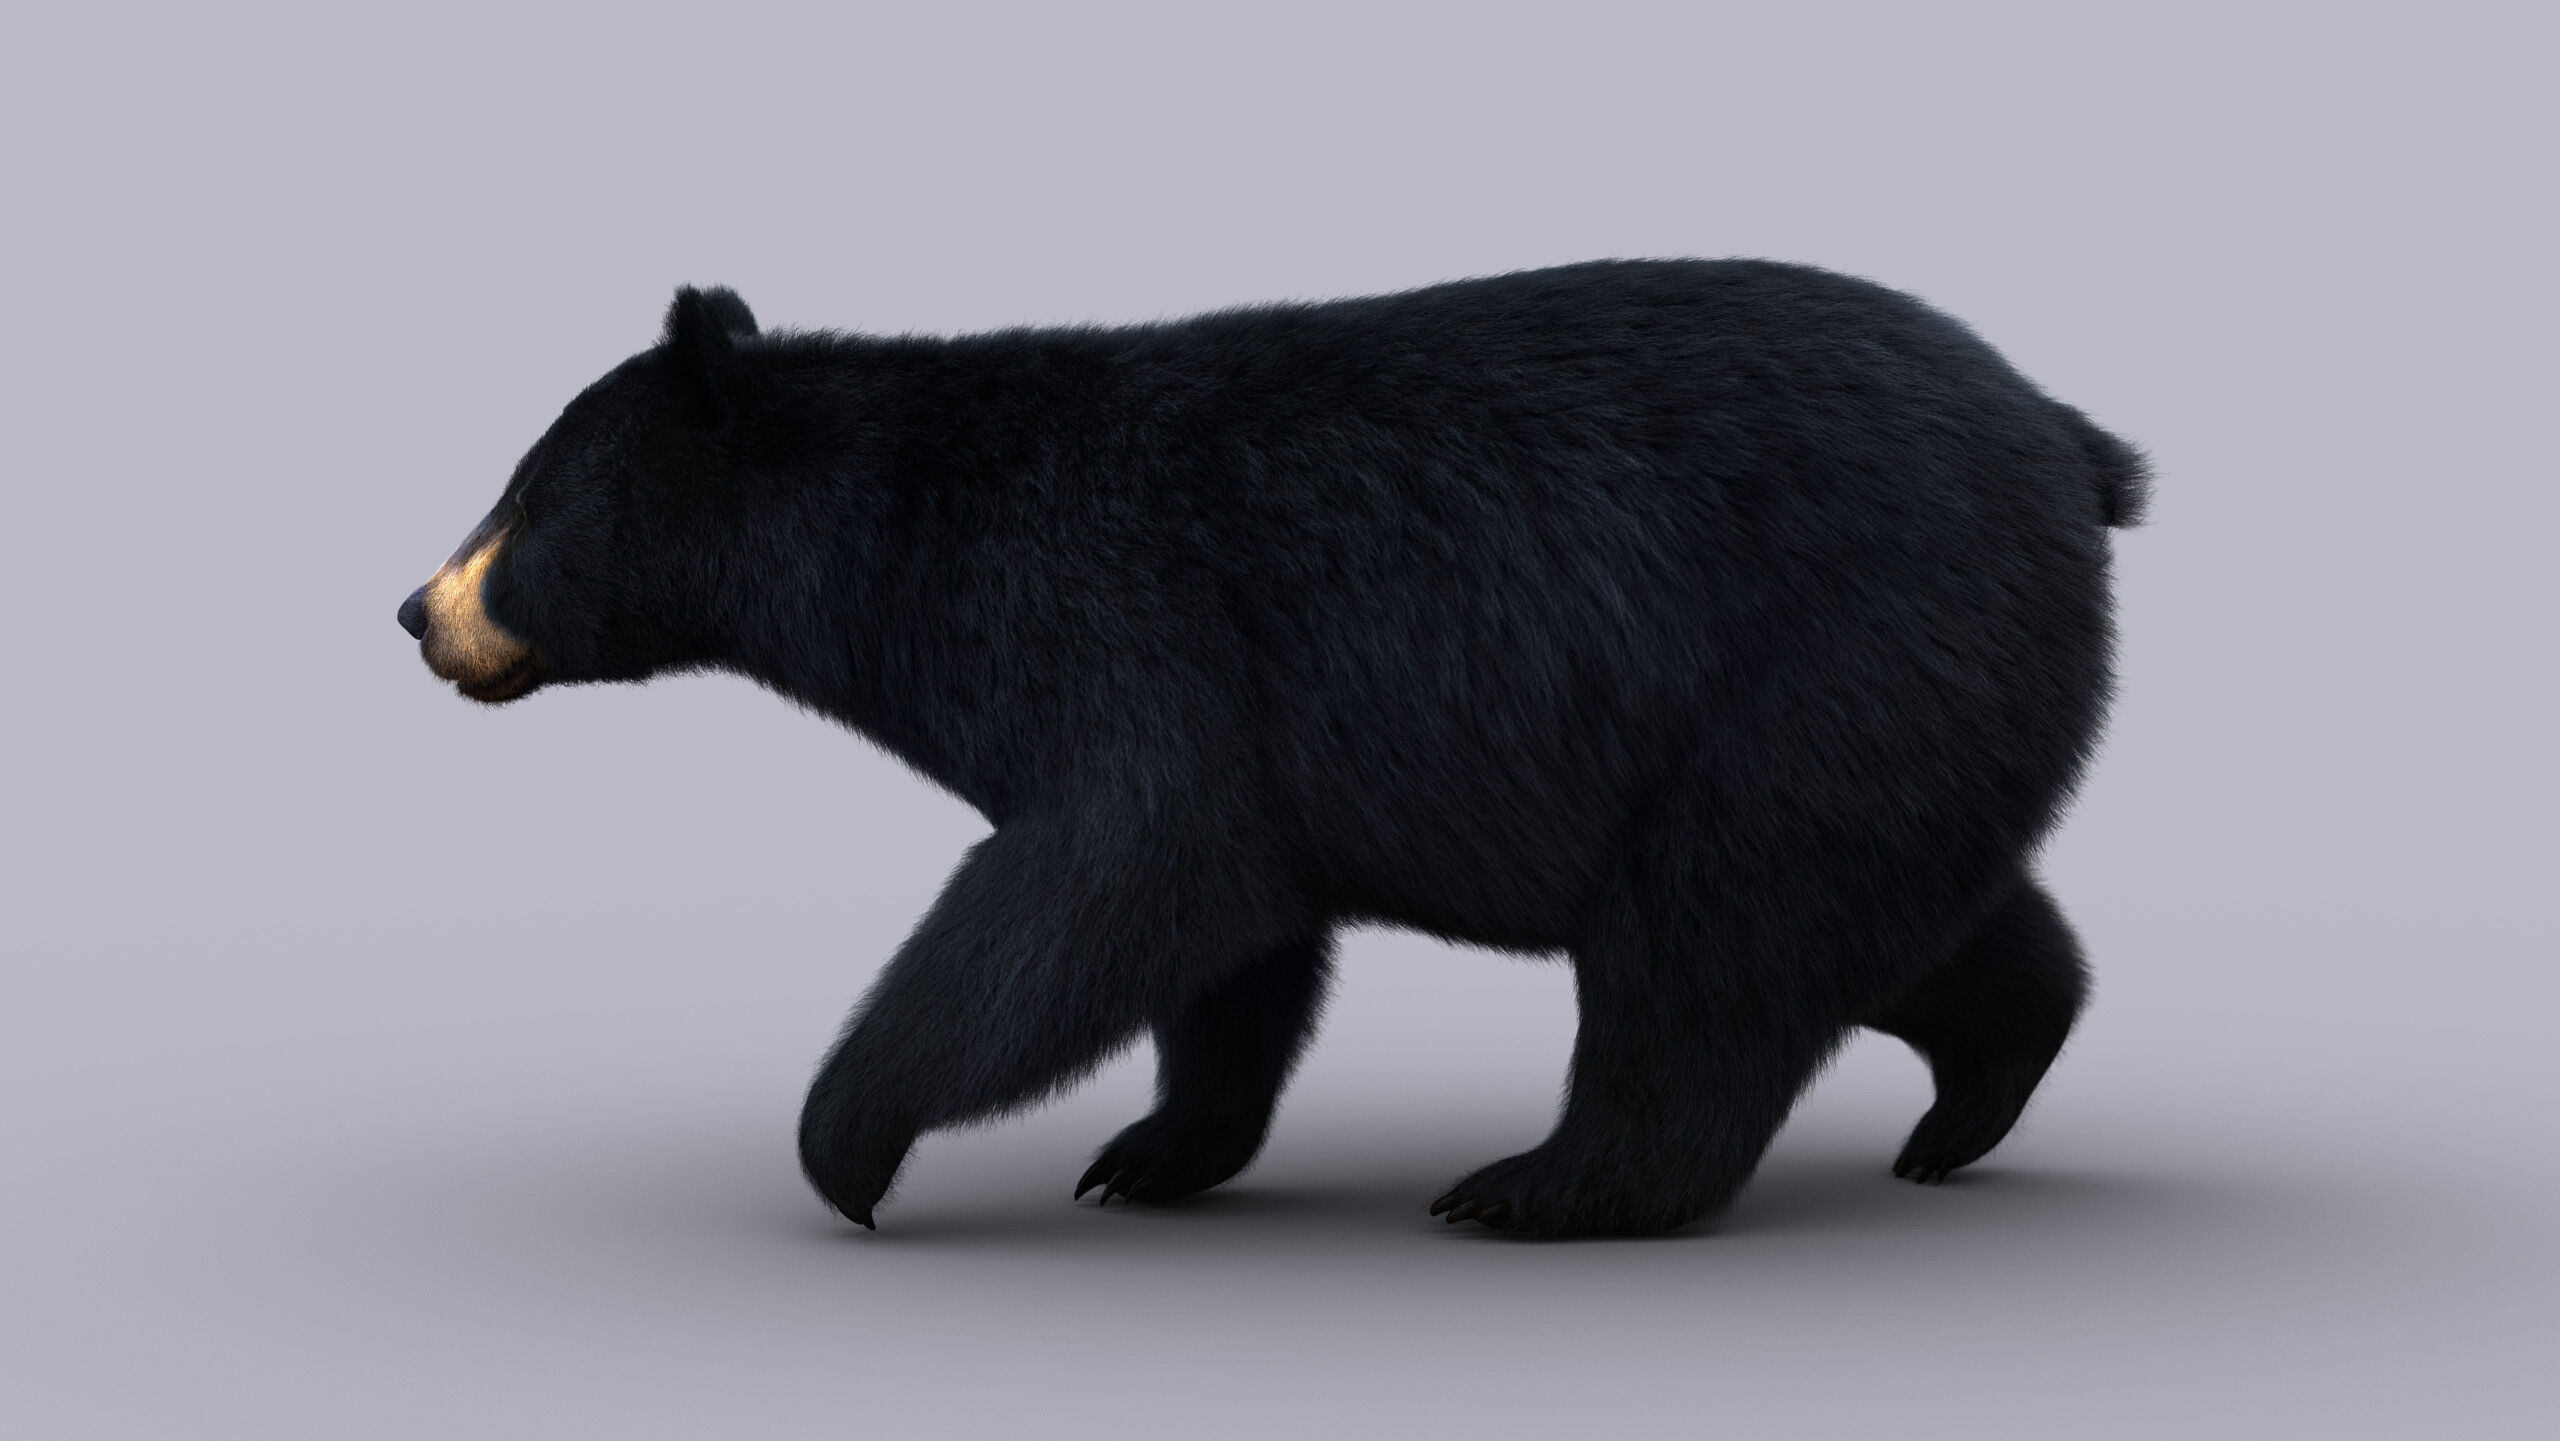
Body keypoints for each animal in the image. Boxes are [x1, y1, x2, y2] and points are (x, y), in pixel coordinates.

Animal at [399, 260, 2147, 1237]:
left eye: (527, 497)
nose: (418, 611)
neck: (909, 541)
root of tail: (2075, 446)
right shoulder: (1247, 731)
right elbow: (1230, 946)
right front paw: (1155, 1151)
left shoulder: (1125, 627)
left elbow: (1104, 878)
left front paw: (850, 1140)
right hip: (1902, 697)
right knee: (1898, 918)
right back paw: (1975, 1097)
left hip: (1818, 655)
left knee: (1717, 944)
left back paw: (1545, 1187)